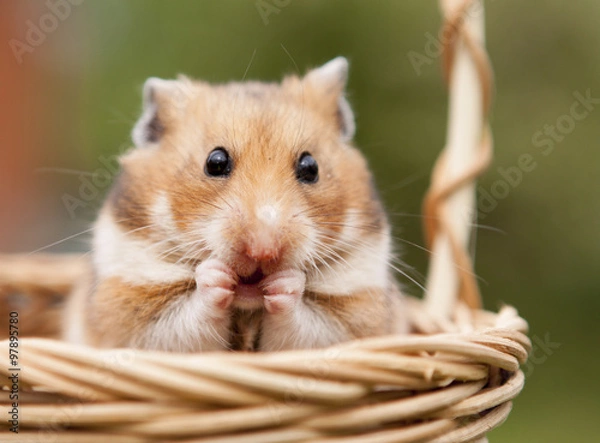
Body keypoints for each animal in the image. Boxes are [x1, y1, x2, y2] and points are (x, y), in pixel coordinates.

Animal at [63, 56, 408, 354]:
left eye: (311, 167)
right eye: (215, 162)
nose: (263, 251)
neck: (248, 304)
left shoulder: (356, 318)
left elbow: (303, 327)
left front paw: (286, 283)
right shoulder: (130, 315)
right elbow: (185, 321)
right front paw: (214, 275)